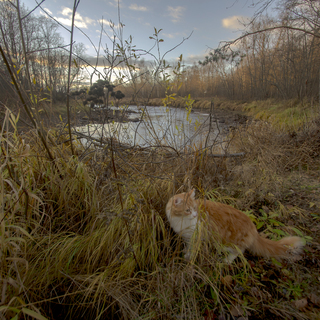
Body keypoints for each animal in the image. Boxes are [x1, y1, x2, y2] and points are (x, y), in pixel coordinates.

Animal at [166, 190, 304, 262]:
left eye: (195, 208)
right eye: (188, 210)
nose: (195, 215)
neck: (180, 220)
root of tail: (253, 228)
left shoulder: (195, 236)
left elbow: (191, 249)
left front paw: (187, 257)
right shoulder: (186, 237)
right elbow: (187, 246)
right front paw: (184, 252)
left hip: (227, 243)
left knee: (240, 251)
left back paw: (226, 261)